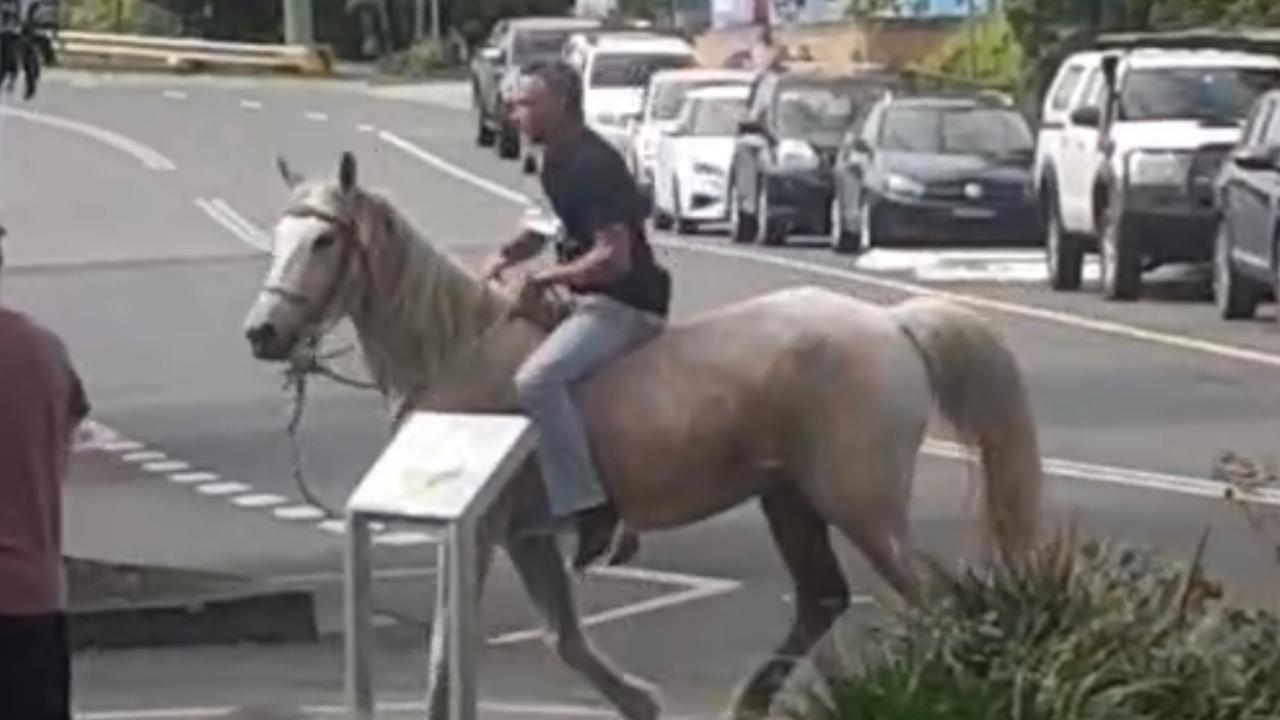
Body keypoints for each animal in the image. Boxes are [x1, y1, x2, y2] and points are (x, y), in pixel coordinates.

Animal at [241, 151, 1049, 717]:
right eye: (280, 233)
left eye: (322, 241)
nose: (263, 333)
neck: (458, 352)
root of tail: (892, 324)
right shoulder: (527, 538)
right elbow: (565, 640)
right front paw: (641, 701)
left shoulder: (479, 530)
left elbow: (448, 656)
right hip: (789, 500)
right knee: (823, 600)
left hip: (863, 508)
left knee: (935, 601)